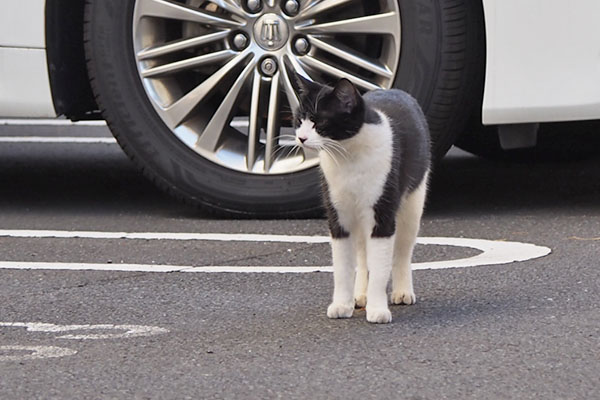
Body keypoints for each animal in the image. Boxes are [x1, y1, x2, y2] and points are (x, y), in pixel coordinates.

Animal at [292, 76, 428, 324]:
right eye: (299, 120)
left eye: (319, 122)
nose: (301, 137)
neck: (348, 157)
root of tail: (395, 91)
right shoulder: (339, 217)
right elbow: (343, 268)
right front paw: (341, 305)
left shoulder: (382, 216)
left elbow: (381, 266)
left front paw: (378, 310)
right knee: (363, 257)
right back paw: (360, 295)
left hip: (412, 202)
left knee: (402, 250)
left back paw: (402, 292)